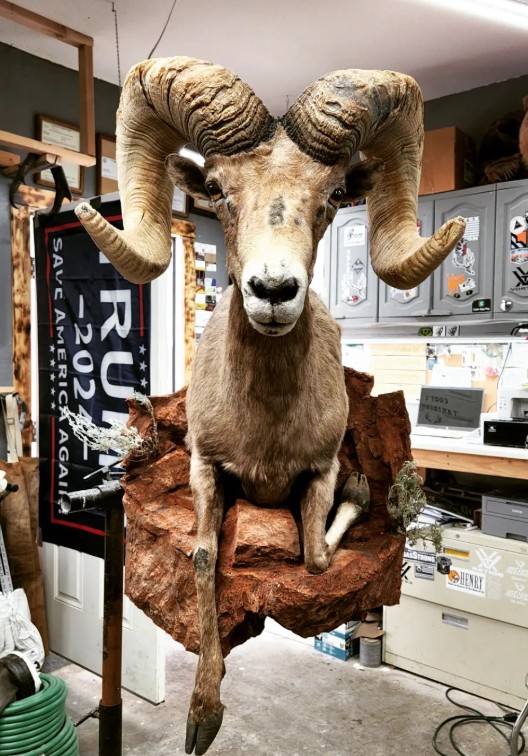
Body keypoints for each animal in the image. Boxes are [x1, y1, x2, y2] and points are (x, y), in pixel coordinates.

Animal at [75, 57, 465, 754]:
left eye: (333, 195)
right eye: (218, 189)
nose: (275, 290)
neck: (267, 431)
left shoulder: (319, 472)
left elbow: (313, 556)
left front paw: (357, 496)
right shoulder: (207, 468)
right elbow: (205, 559)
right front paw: (202, 717)